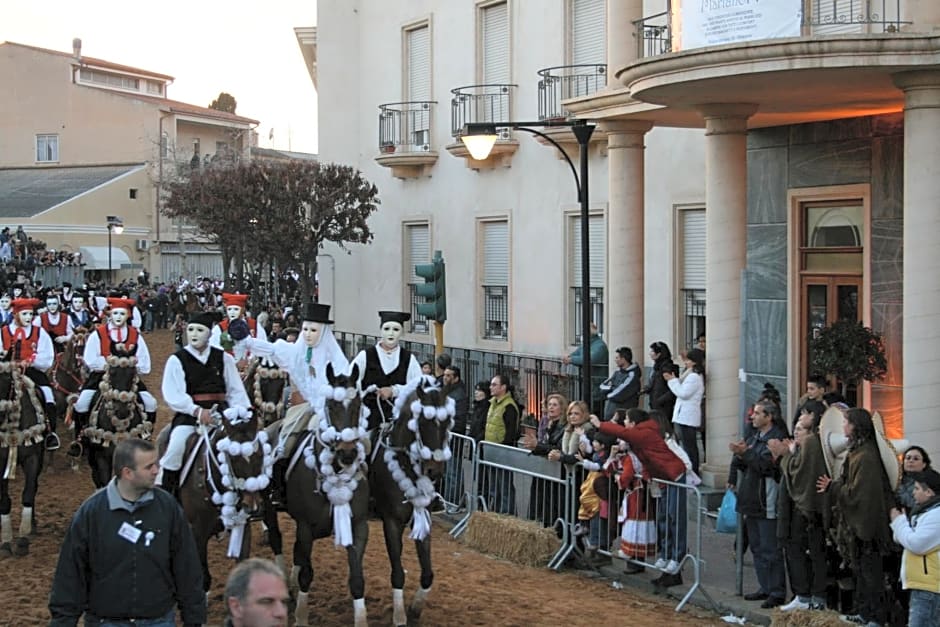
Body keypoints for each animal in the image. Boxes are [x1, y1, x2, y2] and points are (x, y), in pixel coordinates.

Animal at [278, 364, 370, 627]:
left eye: (358, 404)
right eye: (331, 406)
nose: (348, 453)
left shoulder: (358, 526)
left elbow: (357, 578)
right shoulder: (305, 526)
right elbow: (307, 574)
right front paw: (300, 617)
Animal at [370, 376, 454, 624]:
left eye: (447, 423)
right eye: (423, 423)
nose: (434, 470)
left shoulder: (422, 519)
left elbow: (428, 573)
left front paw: (415, 609)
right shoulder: (391, 522)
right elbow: (398, 573)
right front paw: (399, 616)